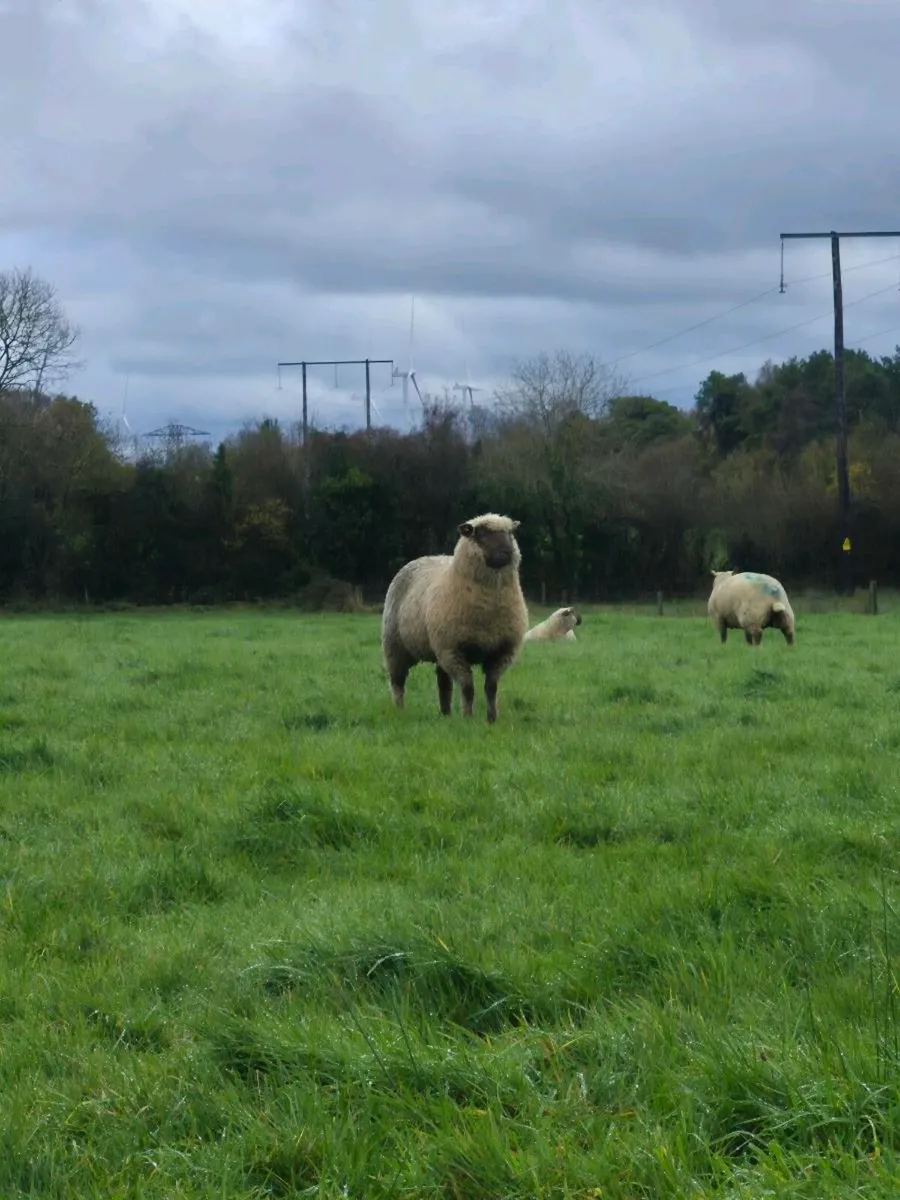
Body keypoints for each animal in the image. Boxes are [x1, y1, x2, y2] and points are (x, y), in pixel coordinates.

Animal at [381, 513, 529, 723]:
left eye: (510, 533)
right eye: (481, 533)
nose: (507, 551)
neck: (488, 607)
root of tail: (428, 556)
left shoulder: (503, 651)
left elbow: (491, 688)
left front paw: (492, 719)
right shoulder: (453, 649)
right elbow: (468, 687)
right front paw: (467, 717)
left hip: (439, 650)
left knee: (443, 682)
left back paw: (445, 713)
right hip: (396, 645)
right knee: (397, 681)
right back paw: (400, 710)